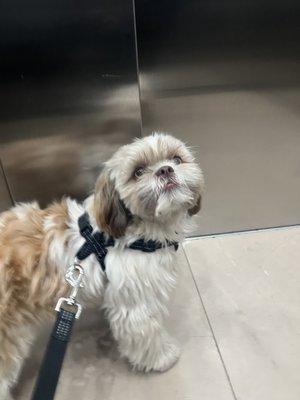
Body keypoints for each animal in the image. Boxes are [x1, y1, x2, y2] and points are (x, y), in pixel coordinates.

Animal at [0, 133, 204, 398]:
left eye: (177, 159)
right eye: (138, 172)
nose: (165, 170)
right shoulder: (135, 305)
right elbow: (146, 334)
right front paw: (163, 358)